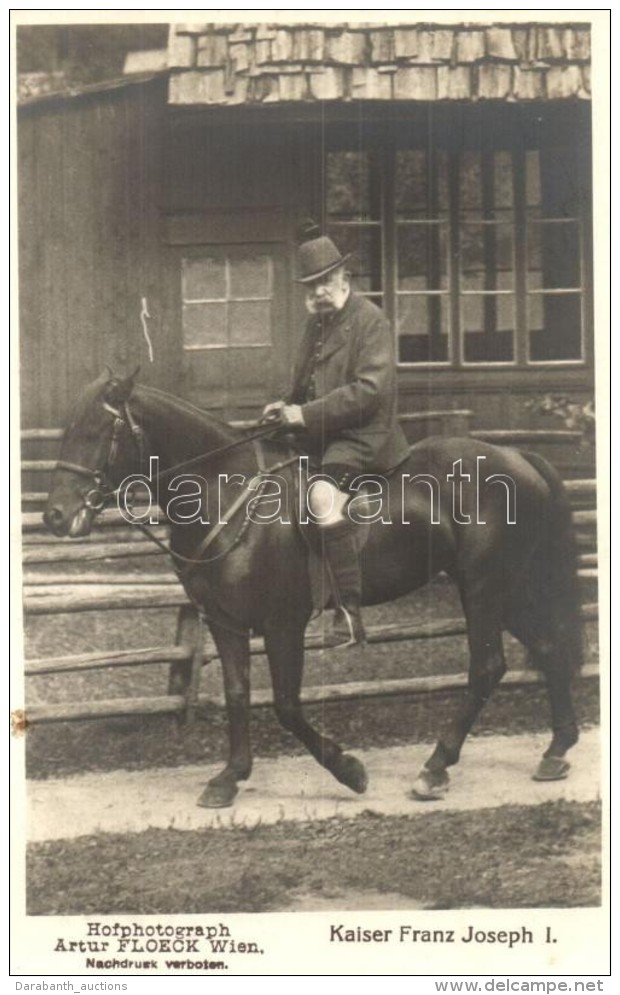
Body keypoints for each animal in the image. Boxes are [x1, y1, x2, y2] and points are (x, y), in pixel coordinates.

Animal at [42, 370, 580, 804]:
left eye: (98, 432)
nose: (55, 517)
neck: (227, 492)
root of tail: (516, 455)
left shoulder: (283, 625)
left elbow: (286, 706)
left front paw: (350, 771)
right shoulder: (225, 623)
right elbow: (238, 693)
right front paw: (230, 777)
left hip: (484, 587)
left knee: (488, 667)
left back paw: (435, 767)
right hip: (509, 589)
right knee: (551, 647)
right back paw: (556, 750)